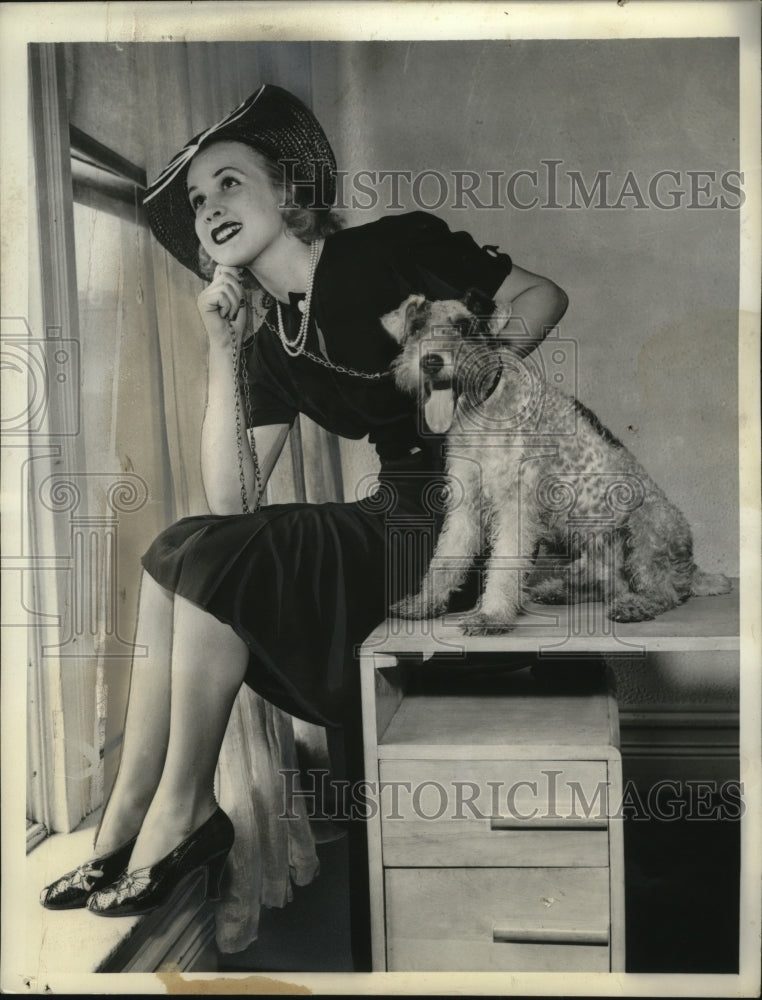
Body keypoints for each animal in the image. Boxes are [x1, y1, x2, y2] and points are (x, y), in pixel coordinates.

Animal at [380, 290, 732, 632]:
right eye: (416, 327)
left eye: (465, 326)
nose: (430, 361)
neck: (485, 406)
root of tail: (691, 568)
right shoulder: (466, 504)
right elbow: (446, 559)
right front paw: (423, 604)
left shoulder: (516, 506)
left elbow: (503, 564)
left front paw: (491, 616)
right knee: (604, 584)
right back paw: (558, 590)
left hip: (646, 525)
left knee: (664, 592)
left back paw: (635, 606)